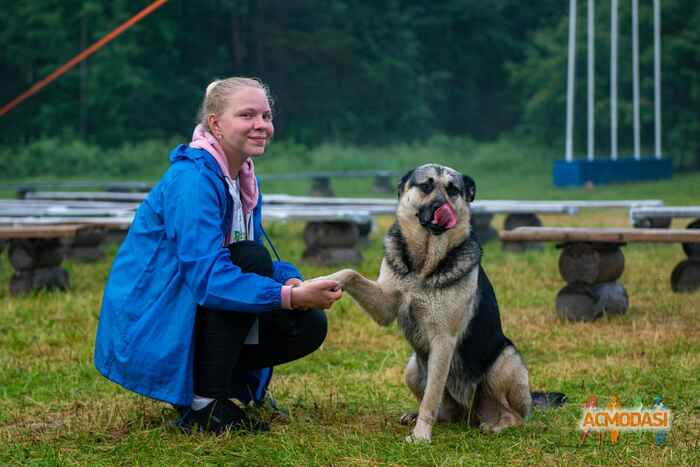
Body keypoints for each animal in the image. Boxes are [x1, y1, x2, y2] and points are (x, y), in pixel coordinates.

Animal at [322, 166, 556, 444]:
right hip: (412, 368)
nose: (441, 207)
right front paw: (319, 283)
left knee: (515, 416)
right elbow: (349, 273)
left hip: (505, 360)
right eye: (426, 186)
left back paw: (496, 426)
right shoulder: (386, 306)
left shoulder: (443, 340)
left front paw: (421, 436)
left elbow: (431, 399)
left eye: (453, 190)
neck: (423, 266)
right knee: (446, 412)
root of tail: (470, 414)